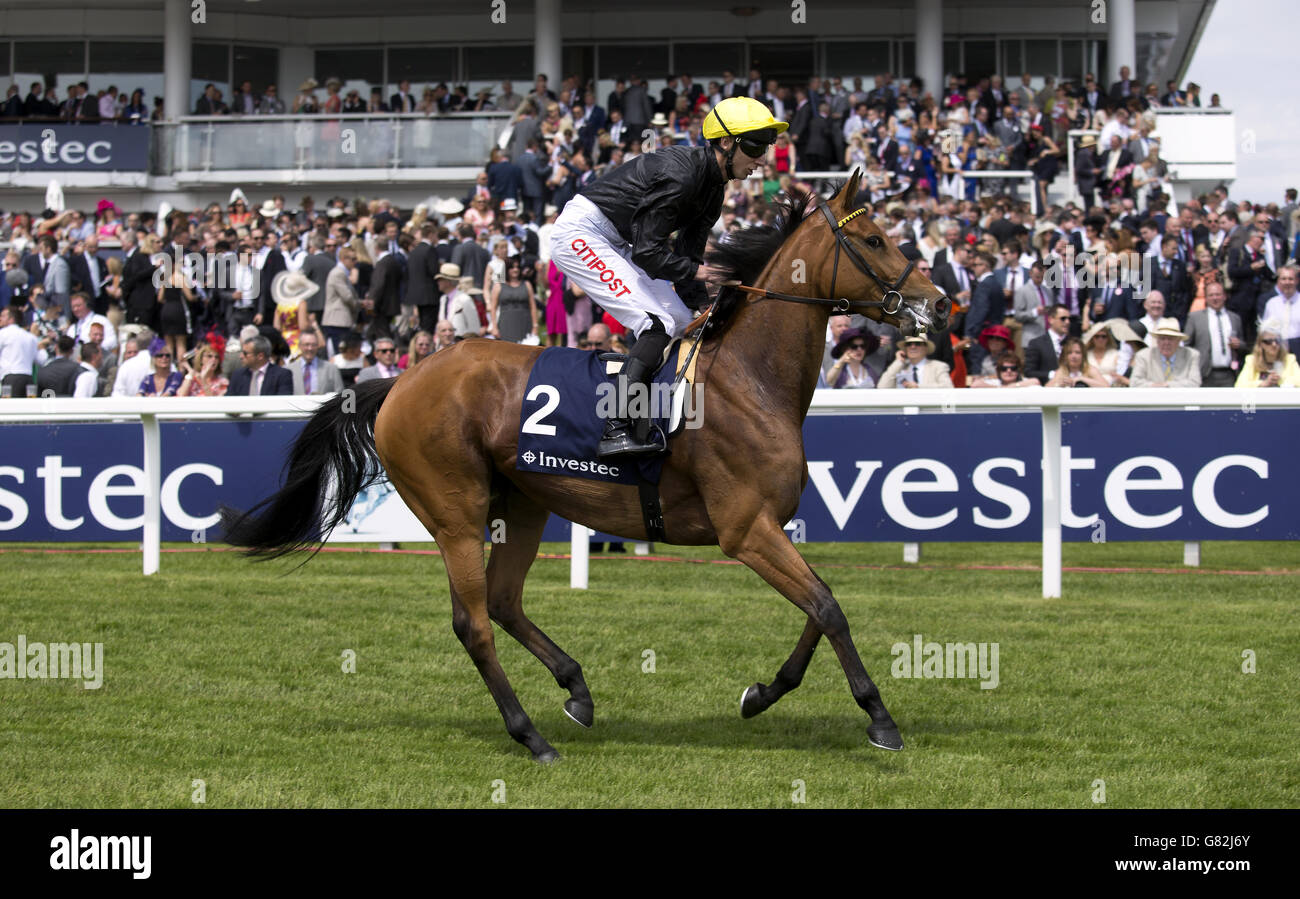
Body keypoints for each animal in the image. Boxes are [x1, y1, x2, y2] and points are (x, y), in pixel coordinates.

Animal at [223, 168, 951, 758]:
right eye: (877, 240)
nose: (938, 302)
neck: (748, 378)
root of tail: (402, 379)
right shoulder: (746, 529)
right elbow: (828, 607)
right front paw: (880, 718)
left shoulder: (771, 525)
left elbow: (819, 607)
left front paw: (762, 692)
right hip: (455, 511)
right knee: (473, 622)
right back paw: (530, 735)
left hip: (522, 504)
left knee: (503, 601)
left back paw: (576, 689)